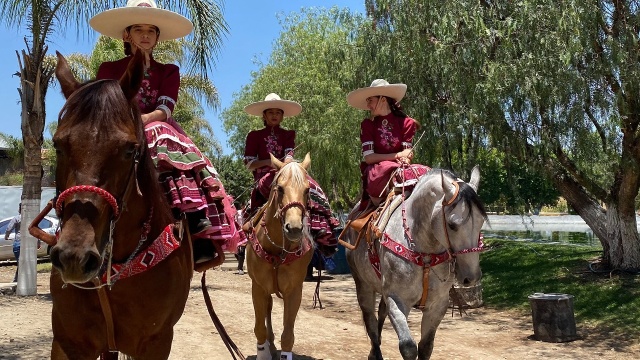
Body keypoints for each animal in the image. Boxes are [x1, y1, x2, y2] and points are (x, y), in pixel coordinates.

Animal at [245, 153, 316, 360]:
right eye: (280, 189)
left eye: (307, 190)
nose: (294, 228)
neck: (278, 250)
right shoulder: (258, 288)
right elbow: (259, 328)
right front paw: (264, 352)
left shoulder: (294, 291)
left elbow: (288, 334)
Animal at [344, 167, 484, 358]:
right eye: (452, 224)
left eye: (481, 221)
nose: (471, 277)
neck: (425, 253)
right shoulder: (397, 300)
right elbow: (408, 347)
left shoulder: (437, 305)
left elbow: (426, 346)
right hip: (363, 285)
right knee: (370, 320)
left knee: (380, 313)